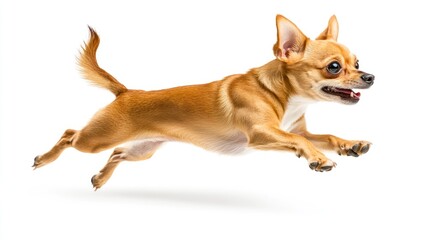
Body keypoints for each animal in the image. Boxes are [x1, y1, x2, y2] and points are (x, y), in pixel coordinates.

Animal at [33, 14, 372, 189]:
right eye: (334, 67)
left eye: (357, 62)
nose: (369, 76)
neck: (286, 95)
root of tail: (127, 92)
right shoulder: (261, 134)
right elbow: (298, 141)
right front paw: (319, 158)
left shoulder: (296, 131)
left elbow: (323, 136)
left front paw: (350, 144)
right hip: (96, 138)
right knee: (69, 135)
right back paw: (44, 159)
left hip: (142, 150)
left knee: (117, 153)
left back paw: (101, 178)